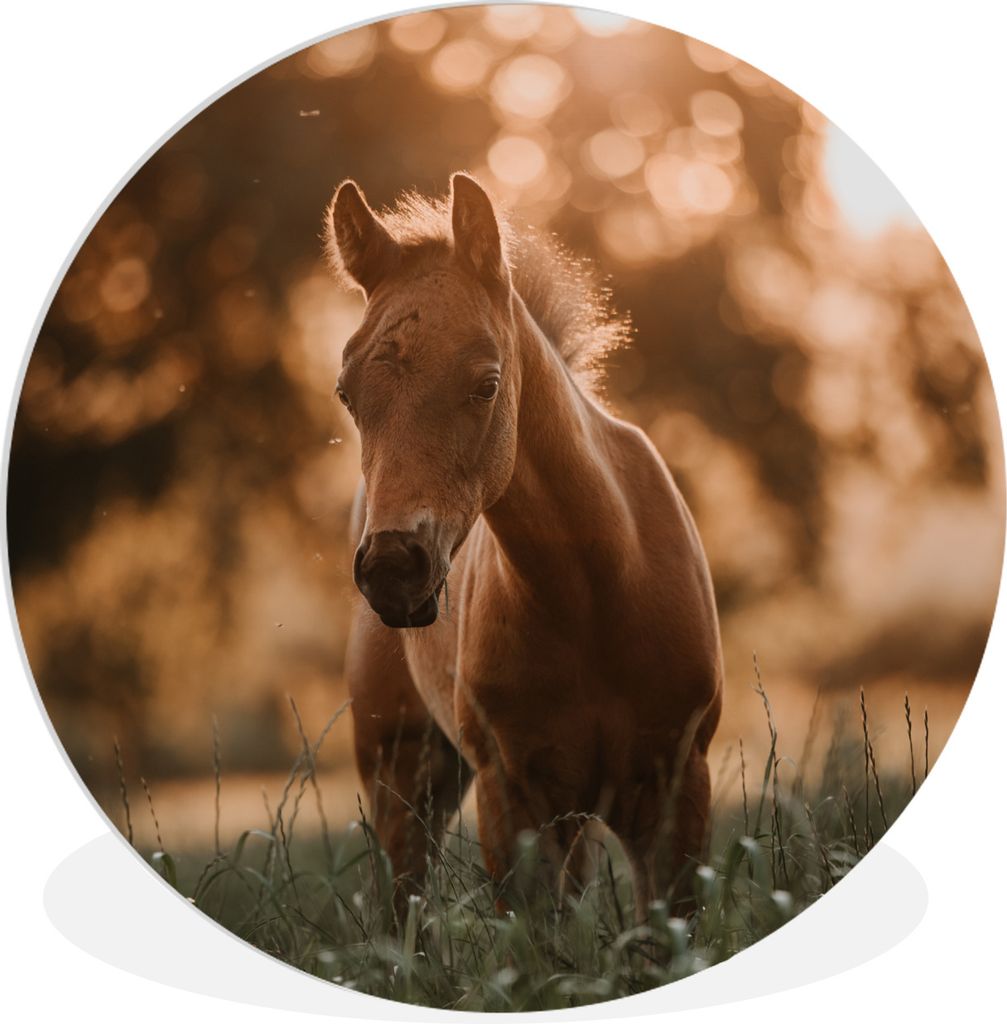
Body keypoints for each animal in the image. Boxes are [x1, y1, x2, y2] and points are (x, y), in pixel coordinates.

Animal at [325, 172, 723, 920]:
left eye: (486, 384)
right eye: (346, 393)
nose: (392, 569)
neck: (593, 592)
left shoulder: (675, 787)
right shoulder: (511, 802)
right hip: (401, 768)